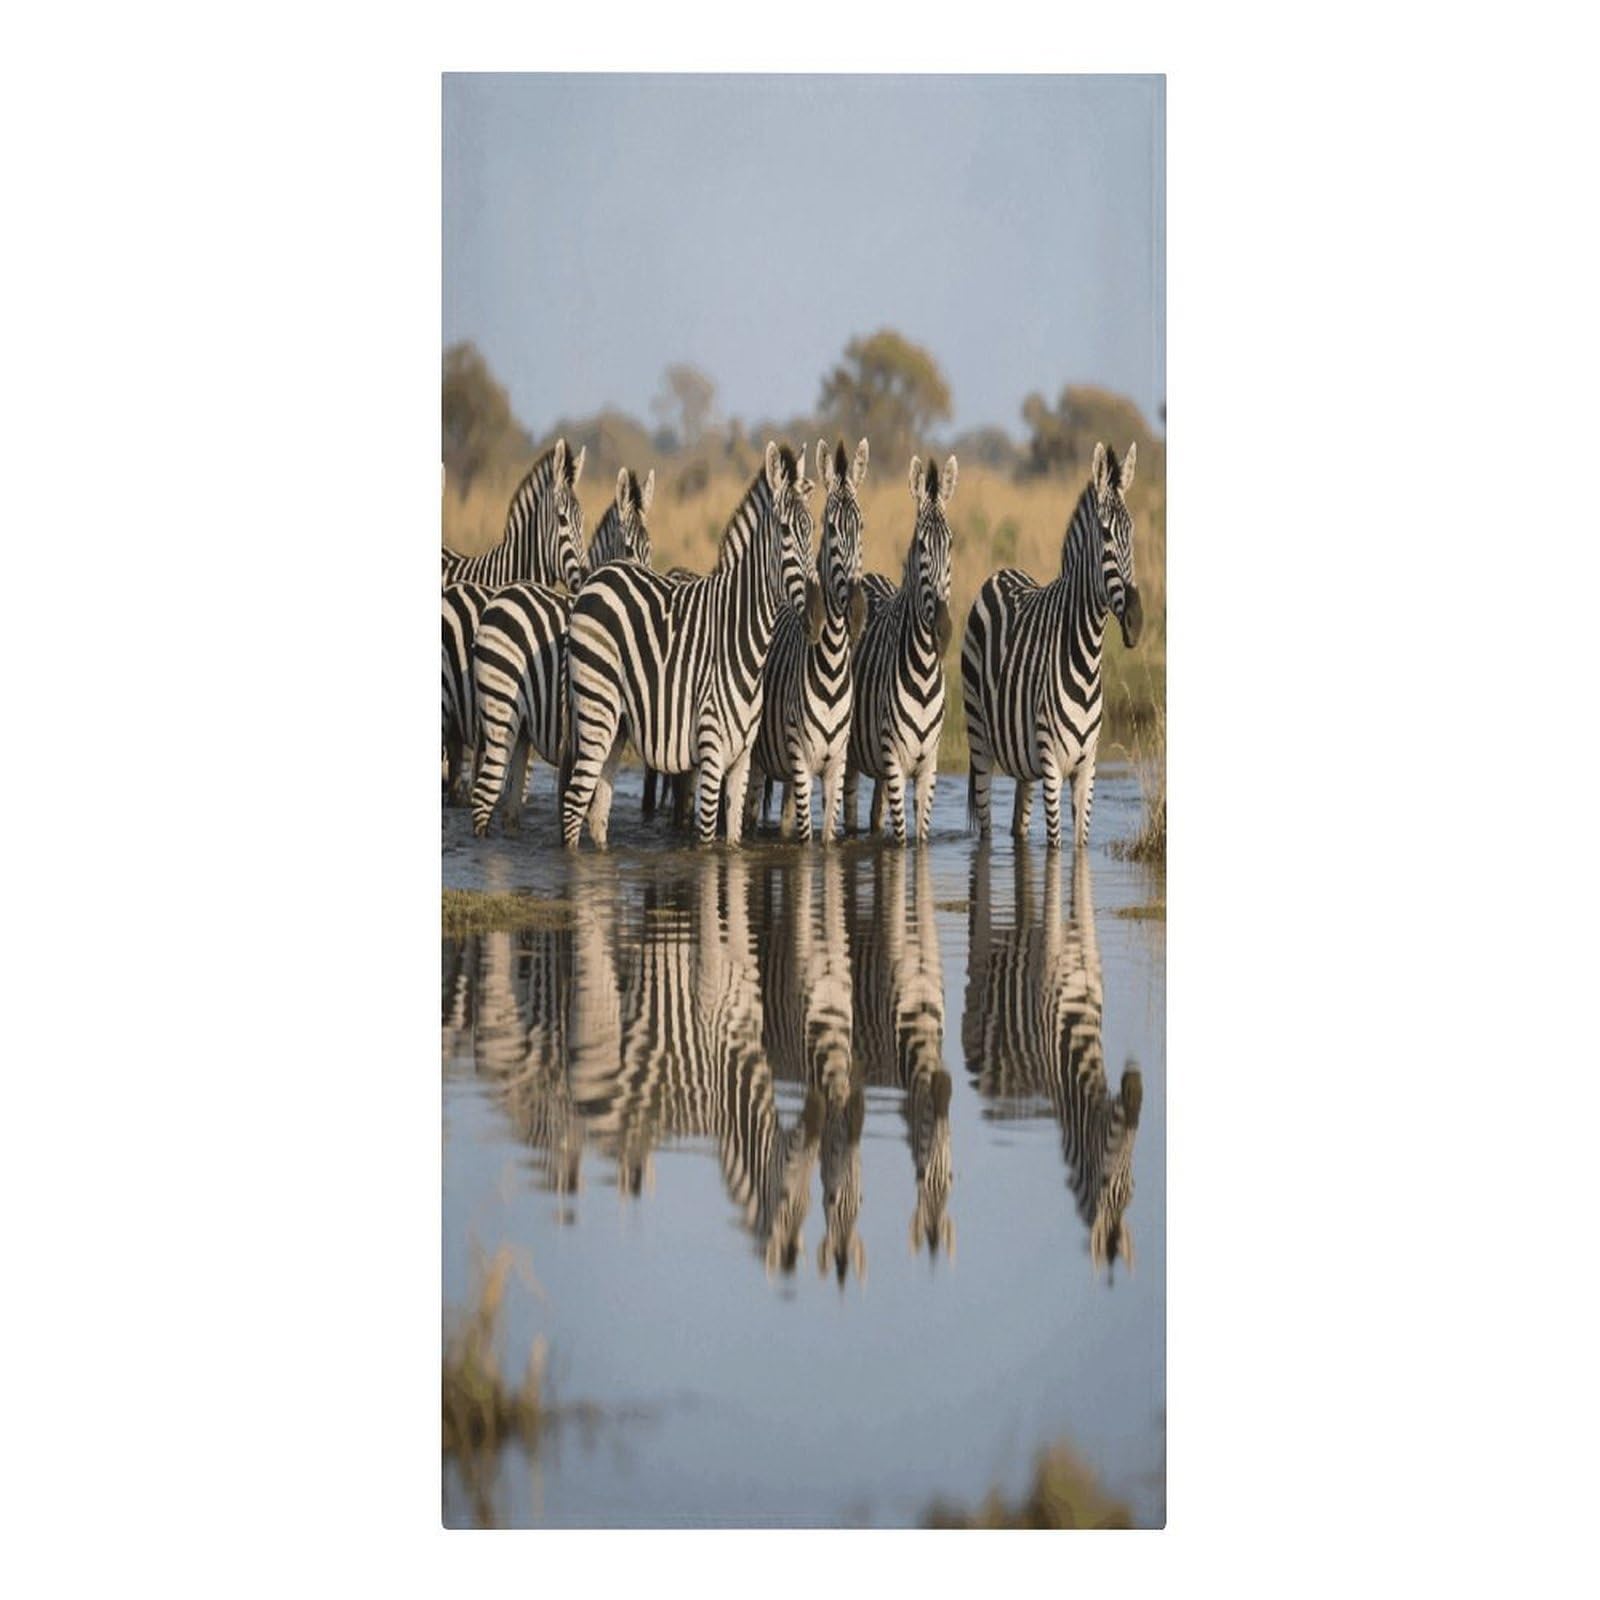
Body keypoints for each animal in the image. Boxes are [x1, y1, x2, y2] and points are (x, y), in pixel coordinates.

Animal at [562, 442, 820, 849]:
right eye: (784, 531)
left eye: (812, 529)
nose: (818, 616)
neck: (746, 638)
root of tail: (600, 576)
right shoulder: (711, 750)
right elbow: (707, 839)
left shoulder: (741, 757)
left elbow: (733, 839)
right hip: (596, 706)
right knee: (574, 805)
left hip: (617, 725)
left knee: (597, 810)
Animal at [748, 438, 869, 842]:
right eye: (829, 527)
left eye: (862, 526)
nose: (857, 612)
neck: (830, 668)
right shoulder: (801, 759)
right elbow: (806, 840)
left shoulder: (836, 765)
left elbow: (828, 840)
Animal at [844, 454, 958, 844]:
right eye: (921, 546)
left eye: (951, 545)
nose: (943, 630)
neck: (922, 672)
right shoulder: (893, 758)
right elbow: (902, 840)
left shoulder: (929, 766)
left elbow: (920, 841)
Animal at [961, 441, 1143, 850]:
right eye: (1105, 534)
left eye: (1132, 532)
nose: (1137, 620)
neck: (1086, 655)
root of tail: (1001, 573)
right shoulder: (1051, 761)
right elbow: (1056, 849)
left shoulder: (1087, 766)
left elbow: (1080, 849)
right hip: (979, 736)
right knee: (985, 825)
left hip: (1022, 761)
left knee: (1019, 824)